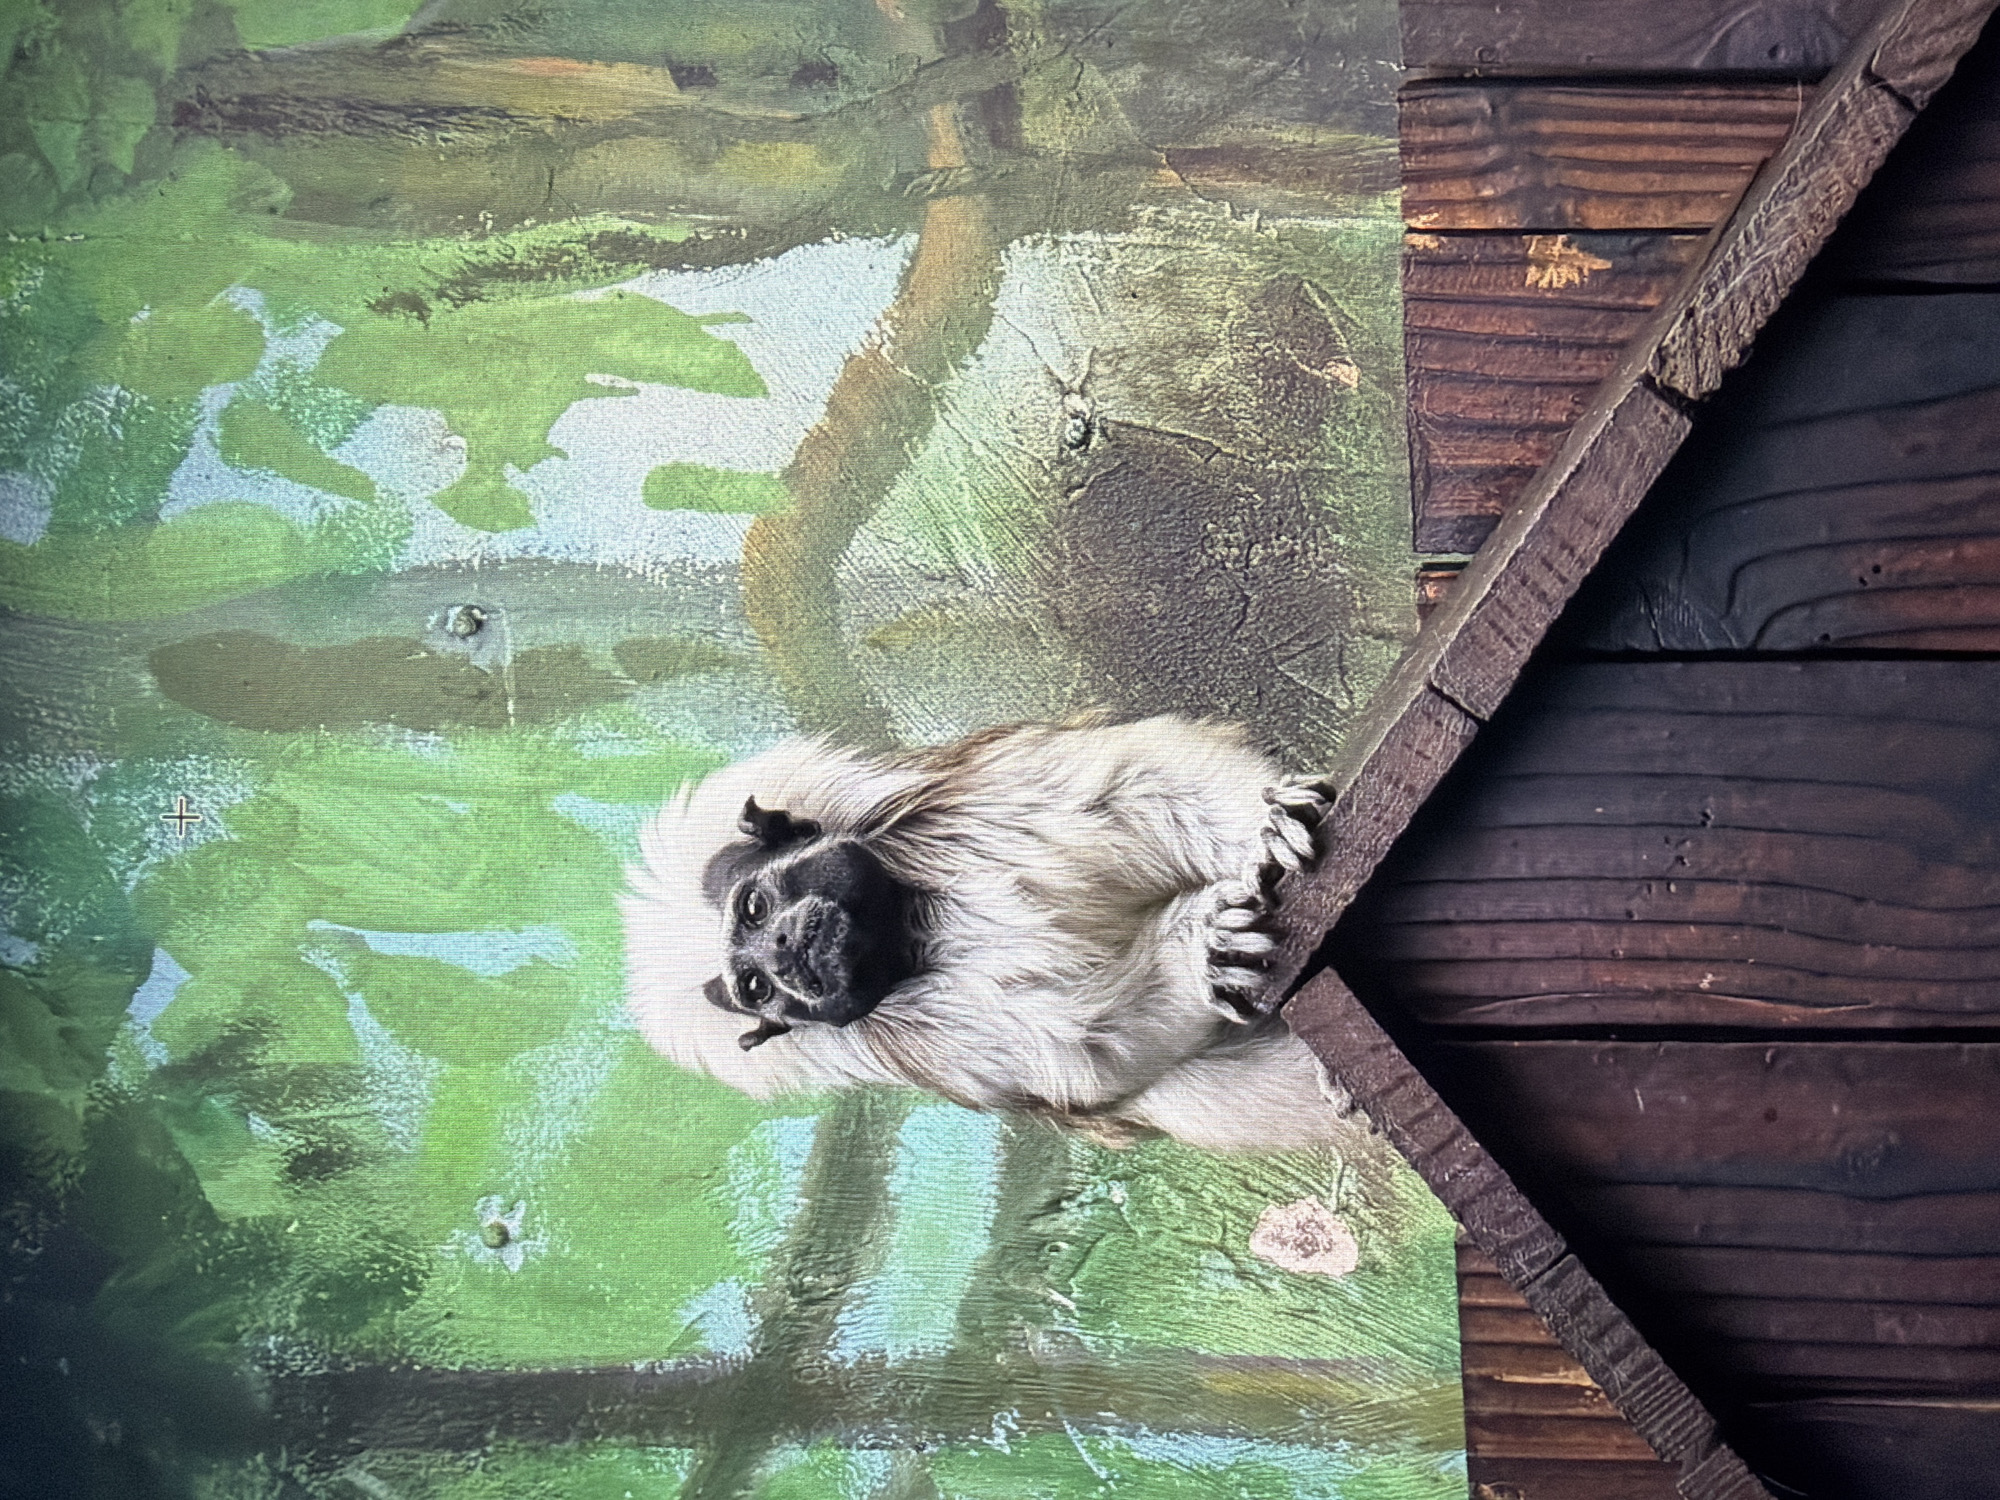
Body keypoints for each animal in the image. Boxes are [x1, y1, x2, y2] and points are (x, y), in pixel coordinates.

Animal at [620, 715, 1355, 1153]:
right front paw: (1199, 950)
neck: (916, 926)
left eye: (753, 908)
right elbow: (1088, 1046)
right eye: (755, 987)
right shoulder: (943, 1040)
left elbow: (1141, 786)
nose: (782, 952)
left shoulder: (973, 808)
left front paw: (1268, 828)